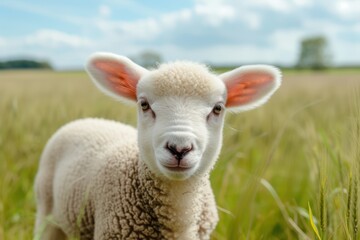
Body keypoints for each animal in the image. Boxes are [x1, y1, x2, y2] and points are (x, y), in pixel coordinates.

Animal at [33, 51, 282, 239]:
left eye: (218, 108)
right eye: (144, 104)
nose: (179, 148)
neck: (179, 217)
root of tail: (87, 120)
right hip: (45, 207)